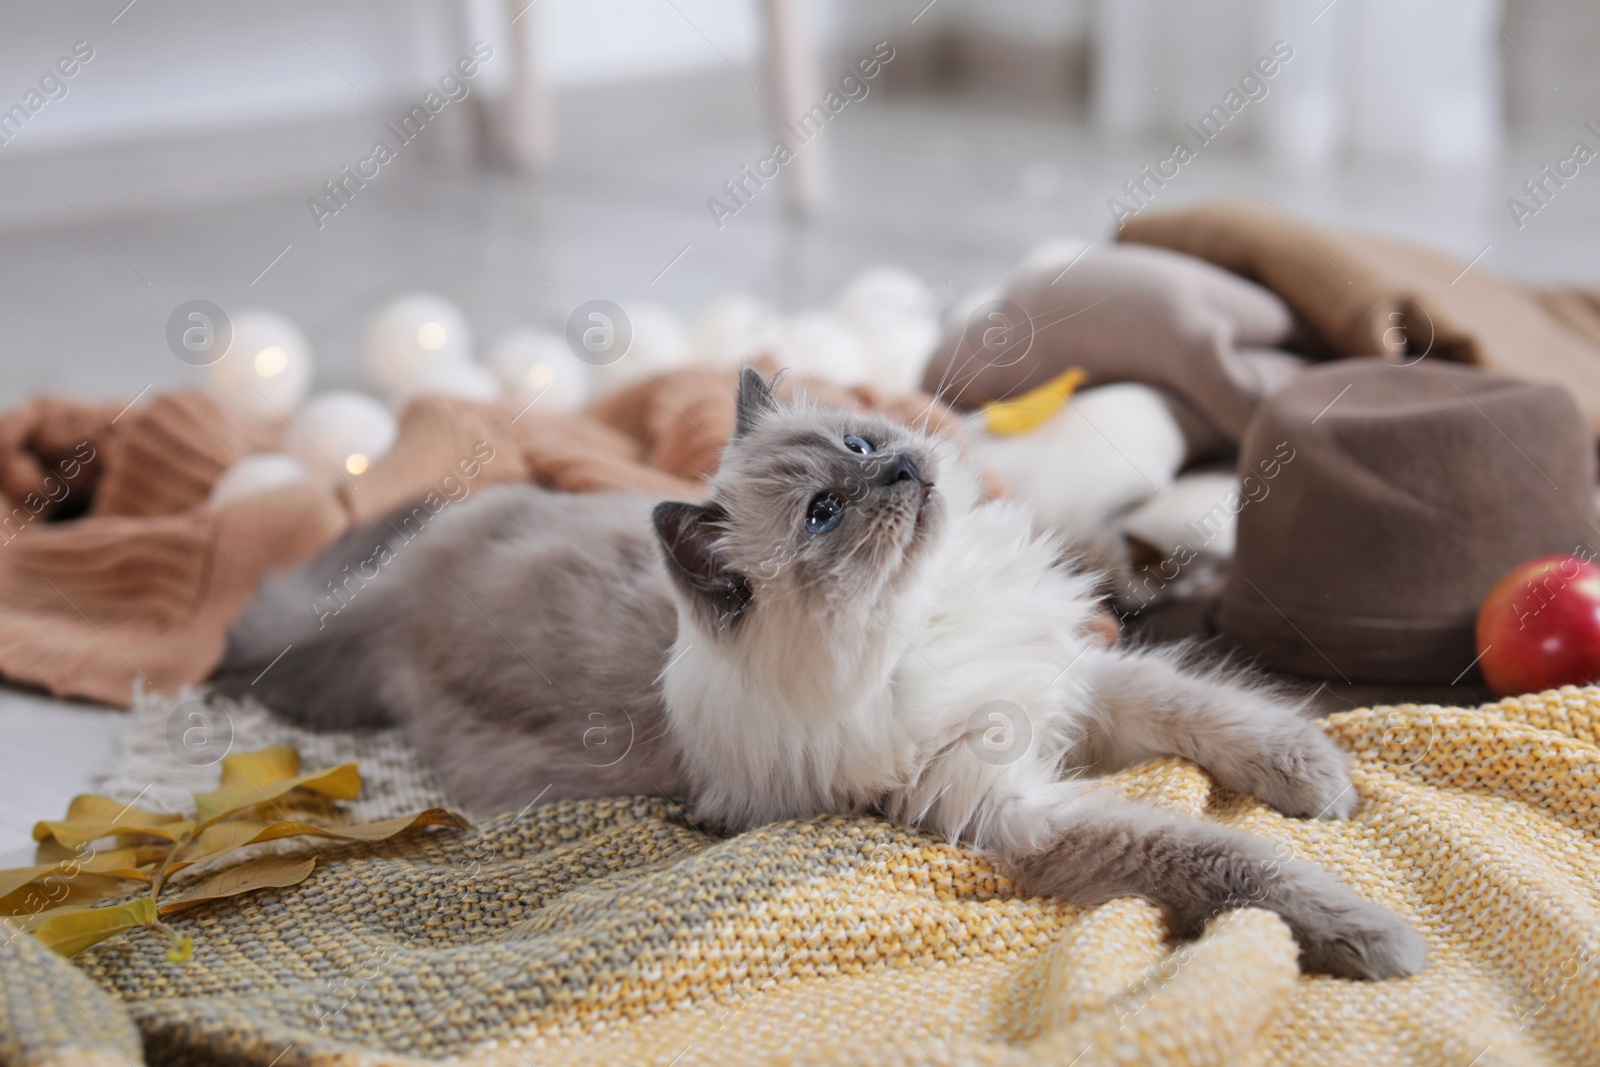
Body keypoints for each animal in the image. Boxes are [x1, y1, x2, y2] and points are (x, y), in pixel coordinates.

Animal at [212, 369, 1427, 985]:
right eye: (826, 513)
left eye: (857, 443)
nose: (898, 469)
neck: (921, 624)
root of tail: (396, 597)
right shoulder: (1015, 809)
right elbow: (1223, 855)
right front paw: (1371, 936)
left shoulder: (1073, 683)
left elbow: (1219, 713)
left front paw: (1319, 780)